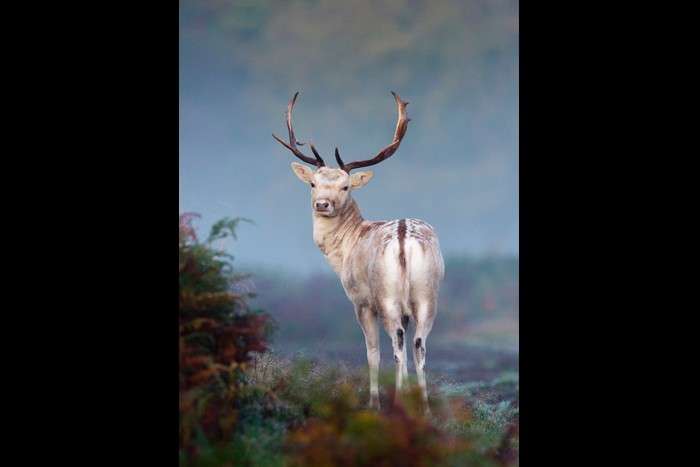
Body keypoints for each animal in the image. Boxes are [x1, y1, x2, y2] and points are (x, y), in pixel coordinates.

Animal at [270, 92, 446, 414]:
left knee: (396, 346)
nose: (322, 204)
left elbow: (372, 352)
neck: (346, 249)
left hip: (386, 296)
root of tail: (403, 238)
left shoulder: (360, 300)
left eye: (345, 186)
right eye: (313, 183)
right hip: (428, 294)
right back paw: (425, 408)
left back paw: (397, 403)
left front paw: (373, 402)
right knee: (418, 345)